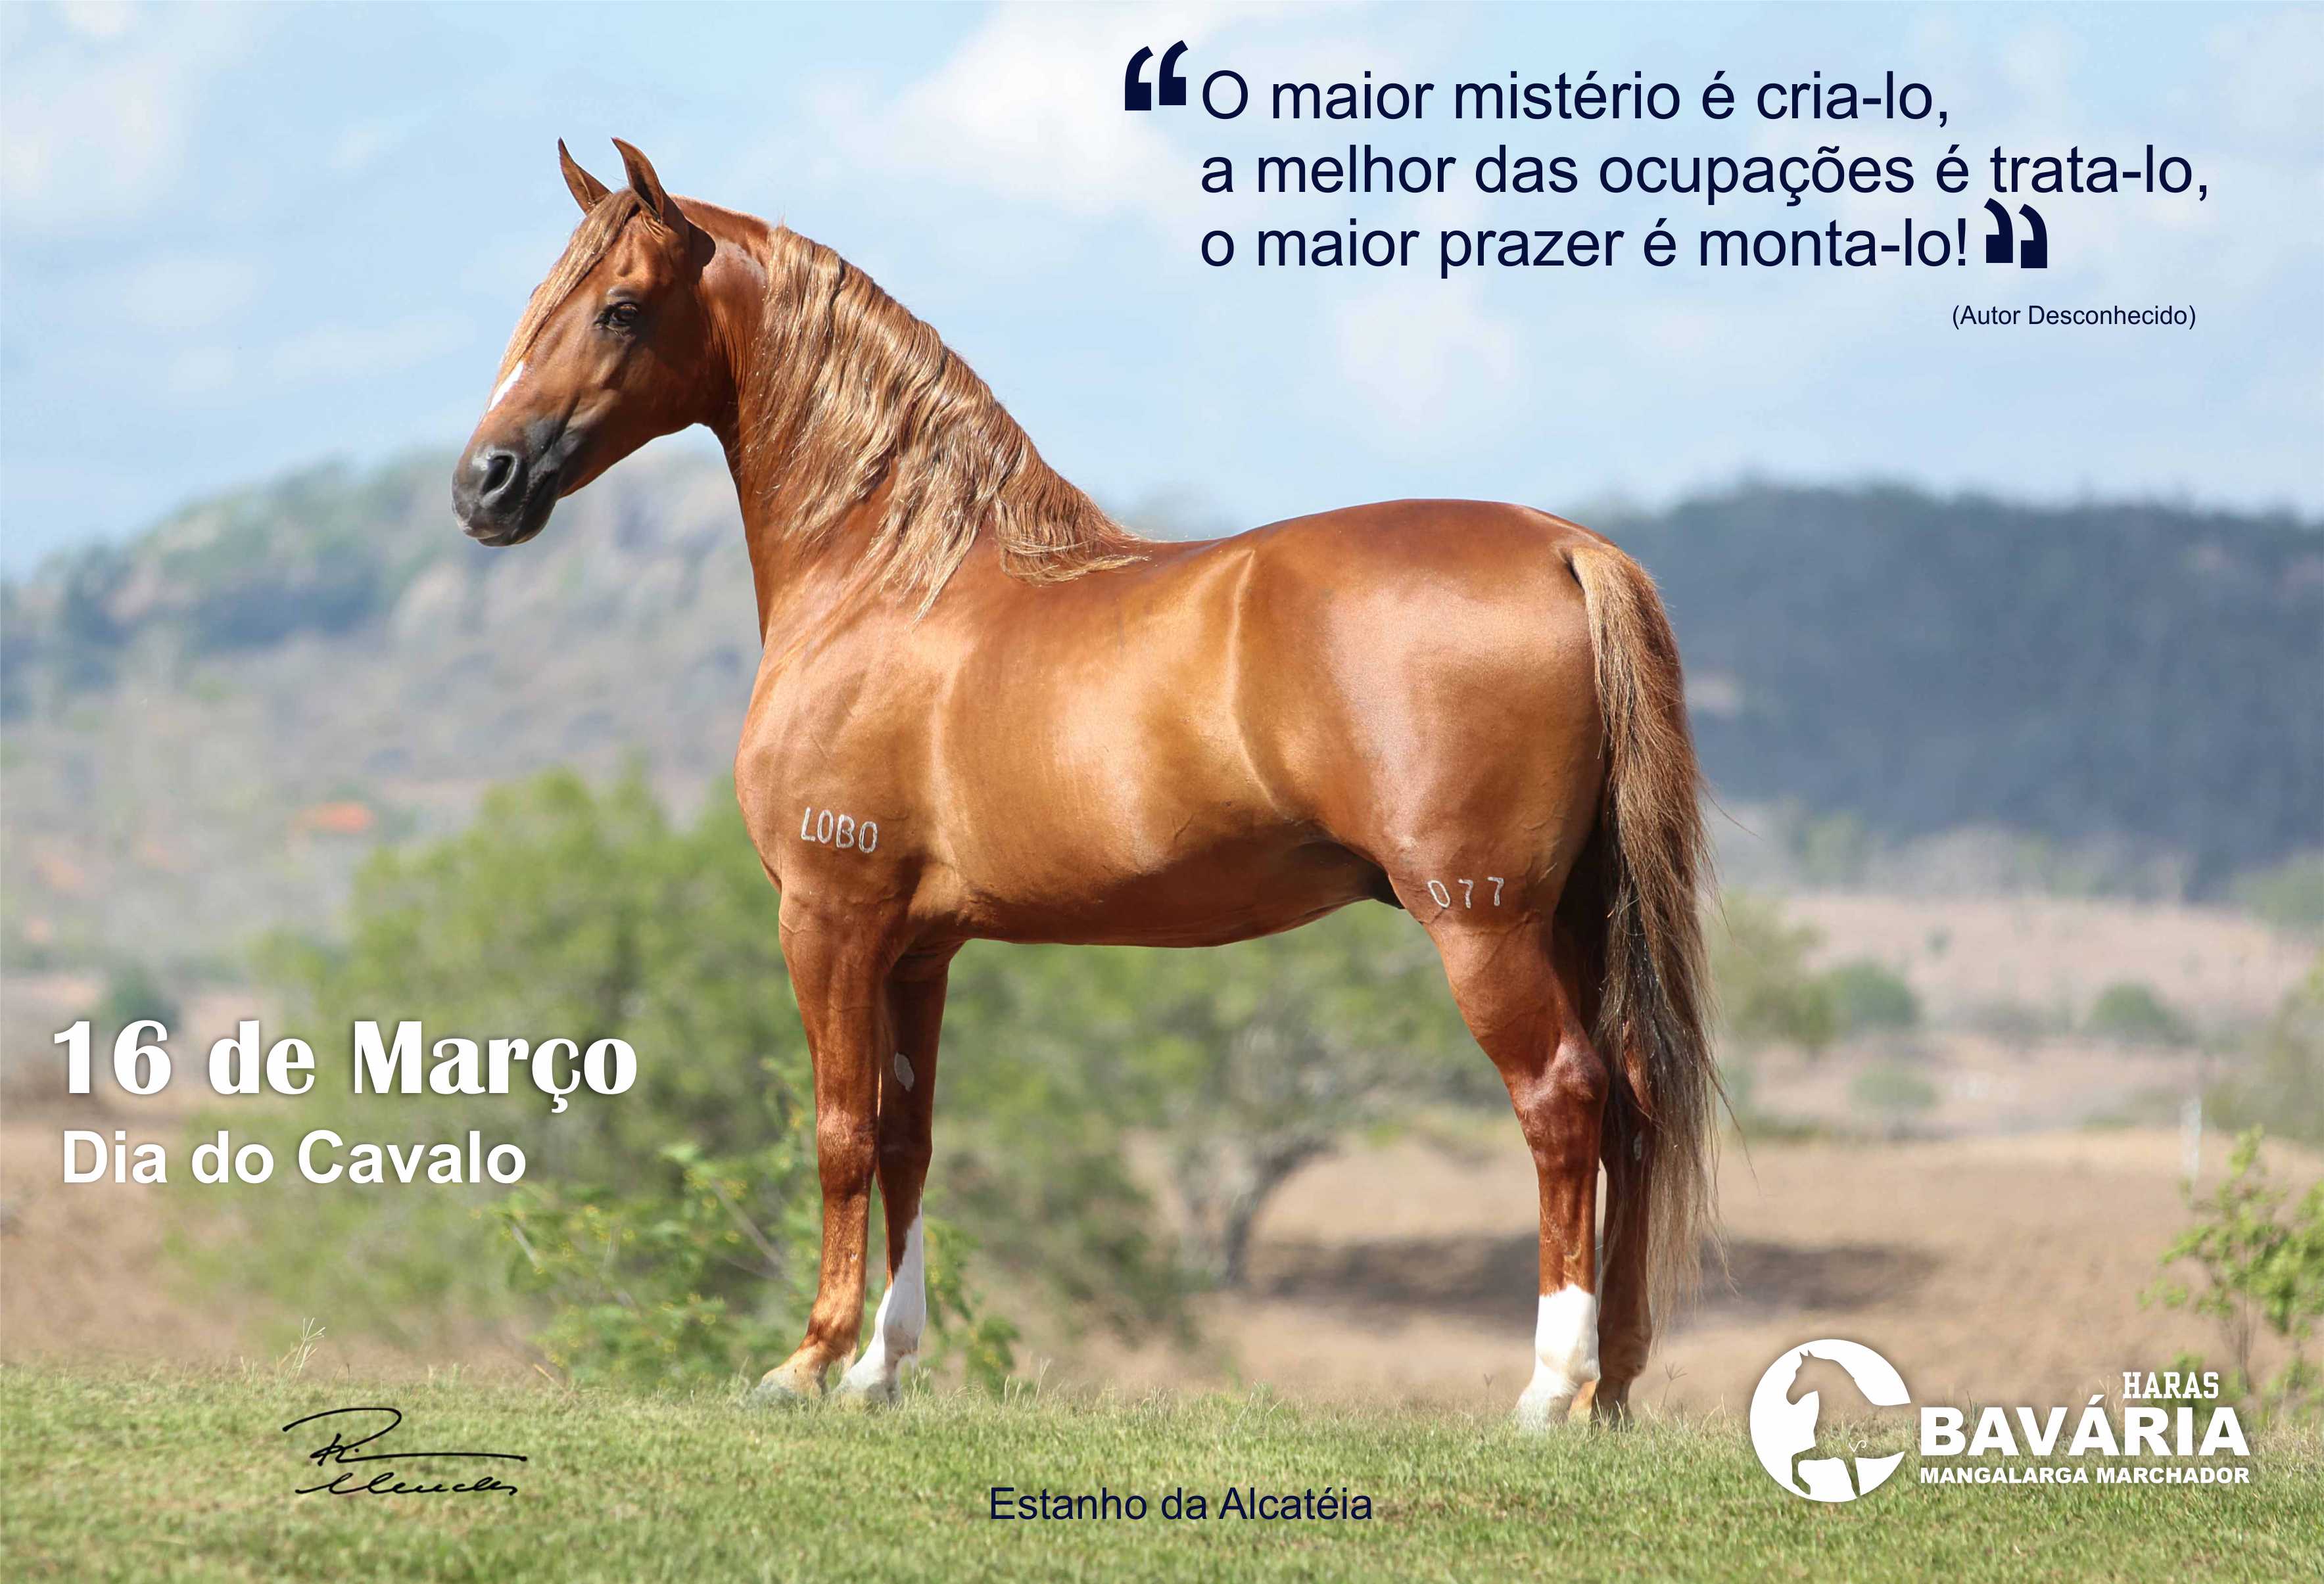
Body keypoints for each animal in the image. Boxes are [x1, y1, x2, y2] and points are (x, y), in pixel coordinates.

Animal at [452, 139, 1718, 1428]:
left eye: (619, 307)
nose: (484, 485)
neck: (893, 578)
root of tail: (1568, 548)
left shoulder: (829, 917)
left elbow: (840, 1133)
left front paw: (804, 1362)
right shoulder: (918, 946)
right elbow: (907, 1137)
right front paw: (876, 1370)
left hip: (1483, 923)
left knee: (1563, 1099)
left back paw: (1546, 1391)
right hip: (1576, 914)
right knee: (1633, 1102)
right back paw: (1613, 1387)